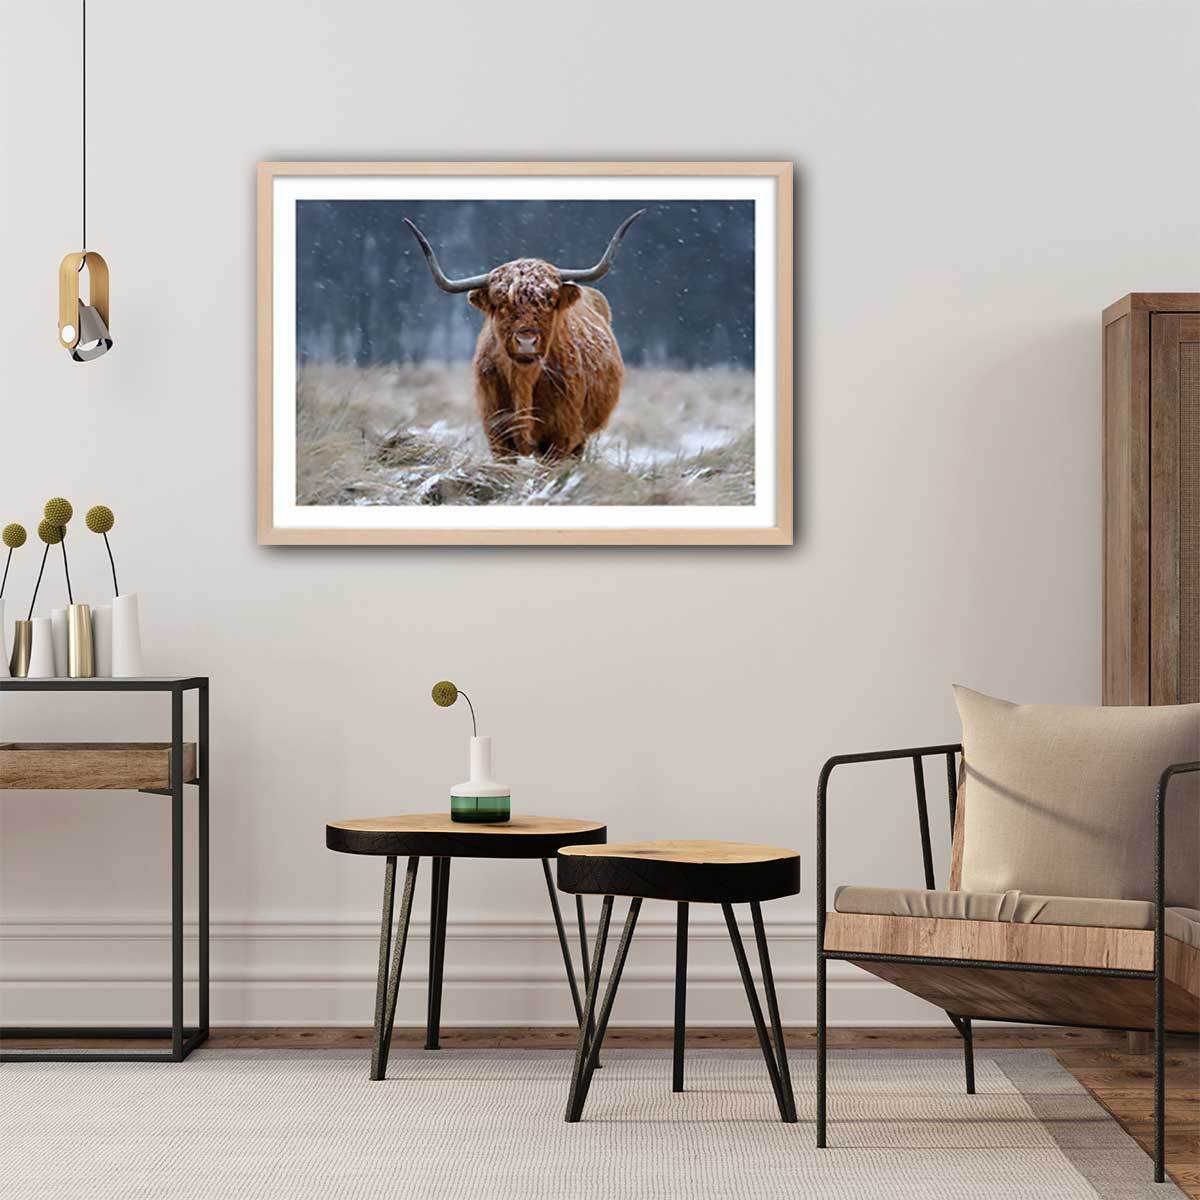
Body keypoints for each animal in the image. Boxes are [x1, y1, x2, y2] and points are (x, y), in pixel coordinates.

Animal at [404, 211, 645, 461]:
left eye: (548, 301)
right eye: (501, 304)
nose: (526, 341)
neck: (523, 380)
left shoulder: (561, 436)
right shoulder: (497, 433)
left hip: (580, 438)